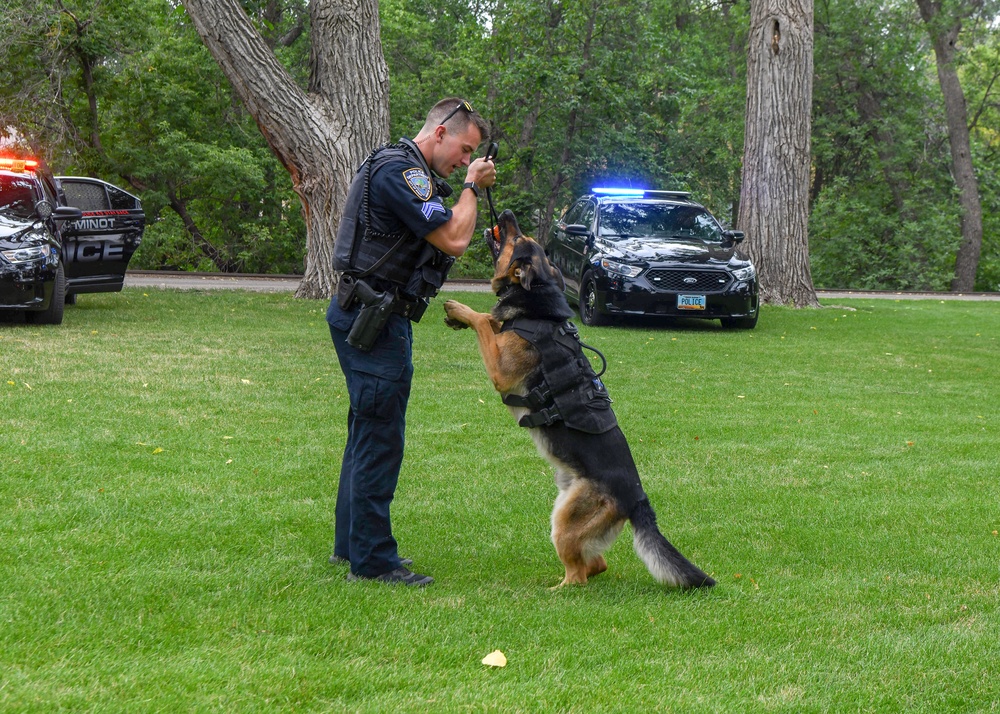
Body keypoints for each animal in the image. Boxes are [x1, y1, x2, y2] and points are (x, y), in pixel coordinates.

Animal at [442, 209, 716, 588]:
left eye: (518, 239)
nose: (508, 213)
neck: (537, 303)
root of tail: (638, 500)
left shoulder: (501, 371)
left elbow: (484, 320)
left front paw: (460, 309)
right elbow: (490, 320)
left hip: (565, 524)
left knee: (580, 576)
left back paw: (555, 590)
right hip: (567, 508)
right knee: (596, 564)